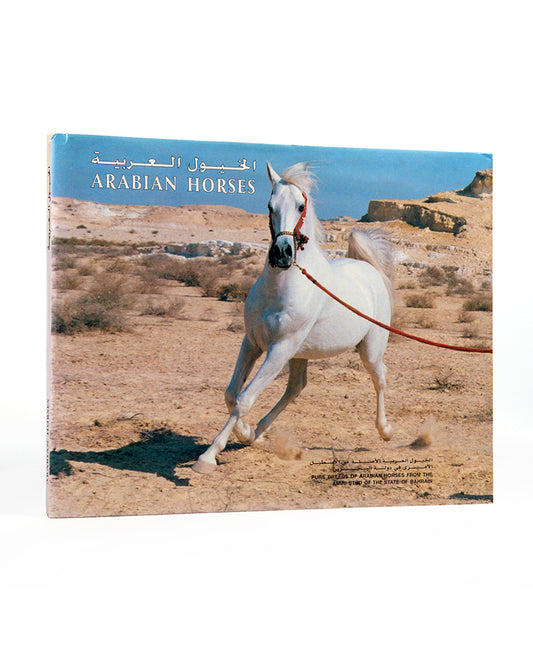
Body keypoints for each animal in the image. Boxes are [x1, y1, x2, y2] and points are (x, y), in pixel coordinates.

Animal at [192, 161, 395, 473]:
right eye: (269, 206)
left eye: (301, 206)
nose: (282, 253)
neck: (281, 288)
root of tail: (367, 267)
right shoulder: (252, 343)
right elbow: (230, 394)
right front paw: (245, 433)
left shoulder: (280, 348)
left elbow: (244, 399)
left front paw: (208, 456)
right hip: (301, 354)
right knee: (296, 387)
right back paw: (259, 431)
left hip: (369, 349)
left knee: (380, 378)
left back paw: (385, 430)